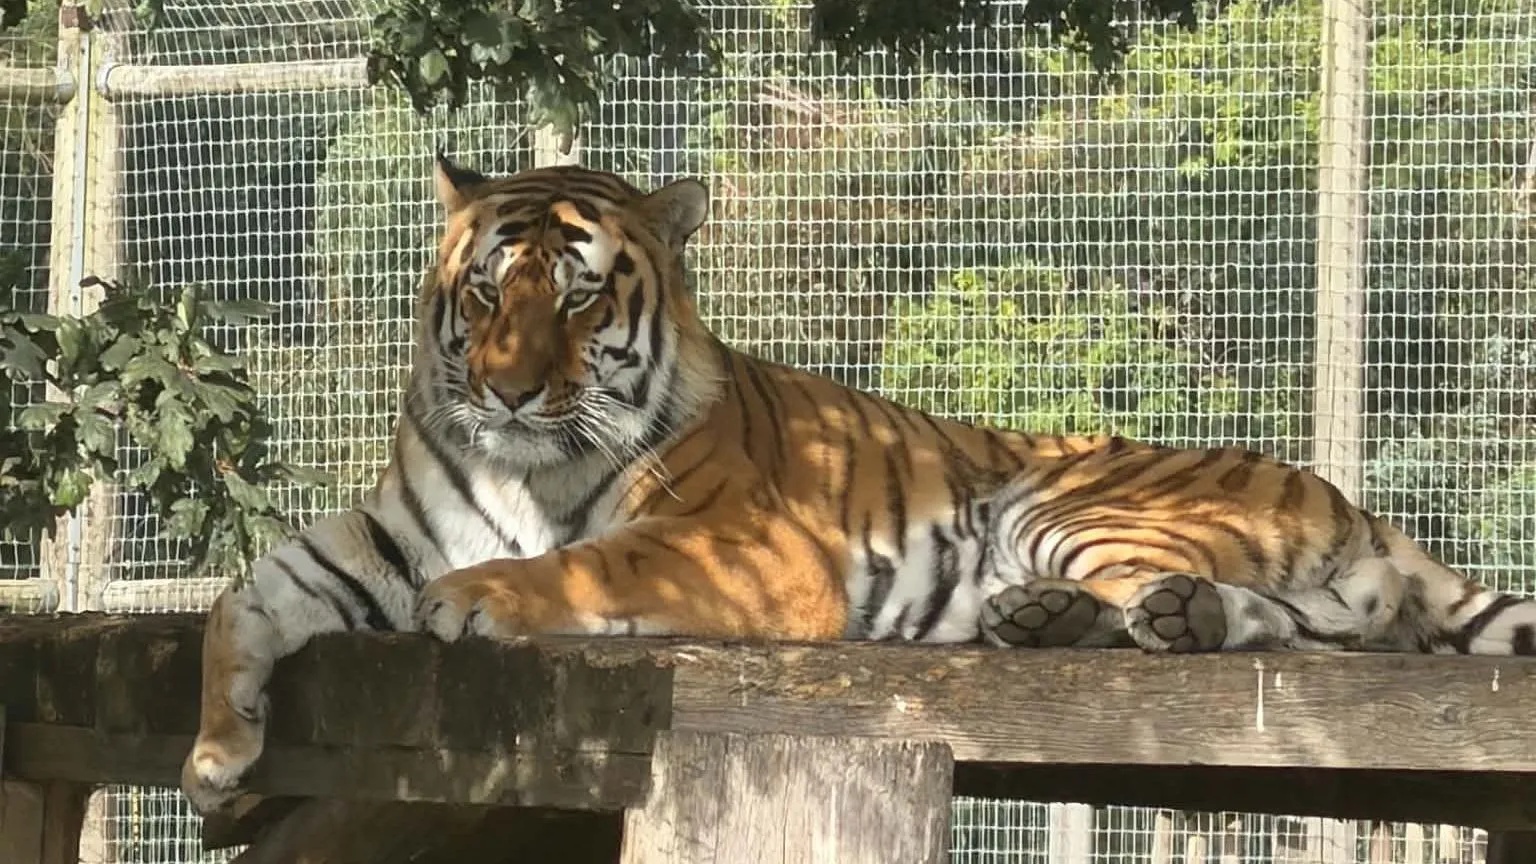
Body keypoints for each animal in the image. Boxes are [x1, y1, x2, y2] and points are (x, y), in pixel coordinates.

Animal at [180, 155, 1536, 815]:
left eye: (576, 297)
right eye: (481, 294)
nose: (509, 392)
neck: (513, 463)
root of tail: (1348, 498)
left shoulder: (744, 548)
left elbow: (586, 559)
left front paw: (481, 597)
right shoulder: (380, 533)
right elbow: (243, 597)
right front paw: (215, 752)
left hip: (1064, 501)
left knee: (1309, 621)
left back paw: (1123, 618)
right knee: (1322, 624)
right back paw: (1068, 621)